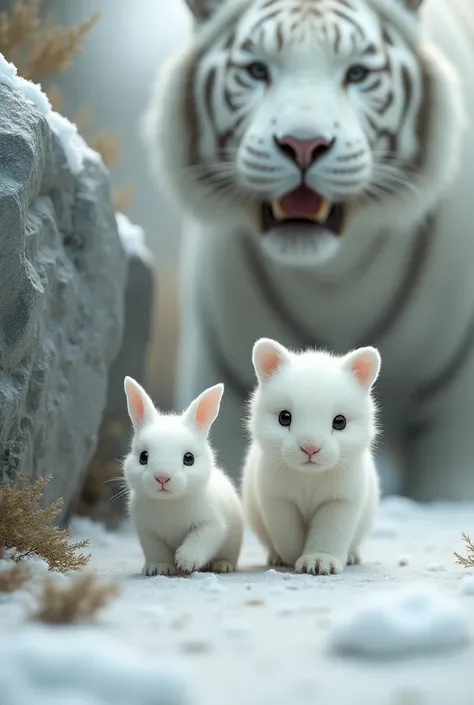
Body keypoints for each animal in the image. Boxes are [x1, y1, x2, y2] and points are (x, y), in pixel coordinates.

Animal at [123, 376, 241, 576]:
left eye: (189, 458)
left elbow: (199, 540)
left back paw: (222, 565)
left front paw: (186, 562)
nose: (162, 477)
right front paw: (158, 569)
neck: (170, 502)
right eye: (143, 457)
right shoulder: (148, 533)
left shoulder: (212, 525)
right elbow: (157, 551)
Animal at [143, 0, 474, 498]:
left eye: (357, 73)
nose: (303, 144)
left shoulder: (454, 410)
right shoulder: (230, 379)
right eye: (257, 70)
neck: (331, 277)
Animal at [243, 338, 380, 576]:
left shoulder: (339, 502)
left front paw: (319, 562)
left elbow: (330, 534)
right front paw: (292, 558)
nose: (310, 448)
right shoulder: (278, 501)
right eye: (284, 417)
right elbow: (287, 534)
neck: (310, 477)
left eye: (340, 421)